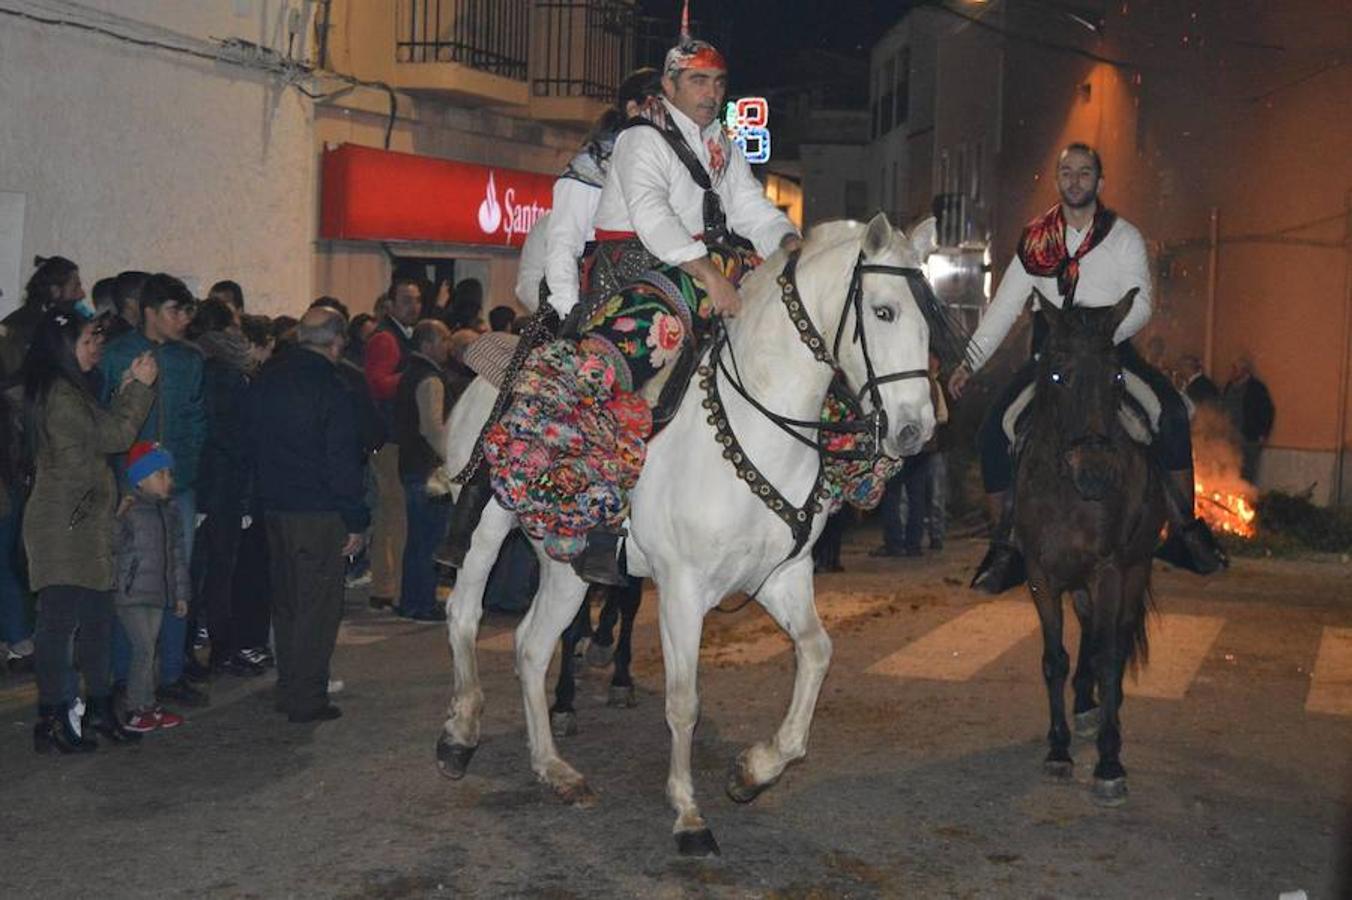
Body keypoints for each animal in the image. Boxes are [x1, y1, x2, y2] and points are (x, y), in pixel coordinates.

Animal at [438, 212, 935, 854]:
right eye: (883, 311)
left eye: (930, 321)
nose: (915, 430)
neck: (754, 422)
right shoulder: (681, 588)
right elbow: (683, 702)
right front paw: (689, 814)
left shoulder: (782, 575)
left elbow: (816, 652)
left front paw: (755, 770)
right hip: (488, 525)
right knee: (465, 614)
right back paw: (460, 733)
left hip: (566, 561)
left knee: (531, 646)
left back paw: (555, 770)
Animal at [1016, 289, 1168, 805]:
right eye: (1056, 375)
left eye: (1117, 376)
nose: (1097, 473)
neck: (1067, 494)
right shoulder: (1041, 575)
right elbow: (1054, 659)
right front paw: (1059, 749)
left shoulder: (1109, 572)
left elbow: (1108, 656)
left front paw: (1109, 762)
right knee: (1087, 633)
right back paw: (1084, 707)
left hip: (1133, 571)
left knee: (1114, 641)